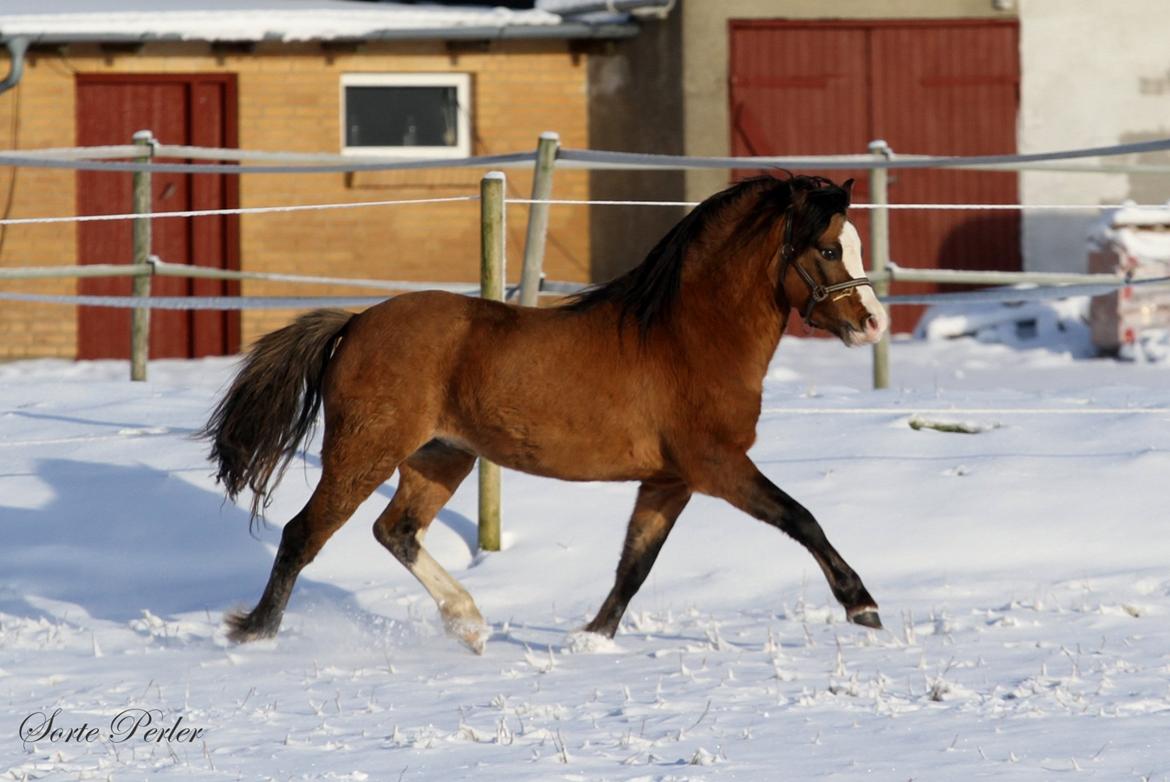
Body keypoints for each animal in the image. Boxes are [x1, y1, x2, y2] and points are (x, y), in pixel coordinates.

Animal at [205, 174, 889, 650]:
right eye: (830, 249)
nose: (874, 324)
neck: (687, 337)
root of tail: (355, 323)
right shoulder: (717, 464)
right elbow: (802, 519)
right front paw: (862, 605)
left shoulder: (669, 480)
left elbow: (635, 563)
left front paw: (592, 637)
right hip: (363, 453)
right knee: (303, 534)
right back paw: (255, 634)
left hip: (440, 457)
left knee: (394, 530)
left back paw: (469, 623)